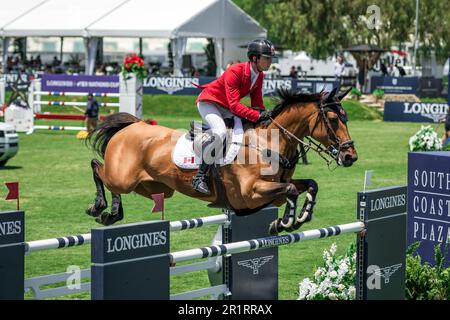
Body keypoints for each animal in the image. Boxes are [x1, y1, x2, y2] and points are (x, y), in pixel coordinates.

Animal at [86, 88, 356, 235]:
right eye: (333, 119)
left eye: (346, 118)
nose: (350, 156)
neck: (267, 143)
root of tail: (132, 125)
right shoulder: (250, 193)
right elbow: (290, 190)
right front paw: (284, 222)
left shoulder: (274, 191)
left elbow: (309, 185)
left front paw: (300, 217)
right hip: (123, 177)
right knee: (97, 167)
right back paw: (101, 208)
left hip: (152, 187)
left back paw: (112, 214)